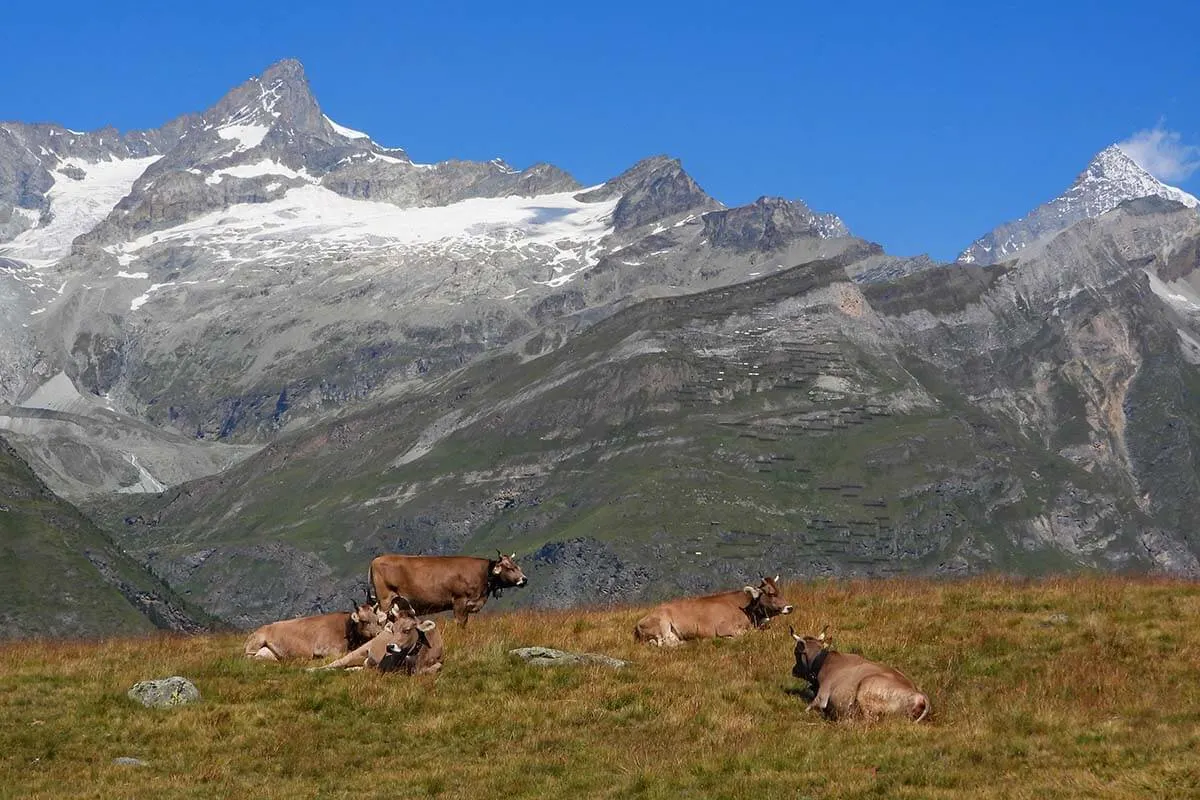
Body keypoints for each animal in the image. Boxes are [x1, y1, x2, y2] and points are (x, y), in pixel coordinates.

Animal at [367, 551, 528, 623]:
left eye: (518, 566)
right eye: (509, 568)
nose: (524, 579)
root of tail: (376, 559)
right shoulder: (459, 601)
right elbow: (460, 622)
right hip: (385, 598)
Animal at [633, 575, 792, 642]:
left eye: (780, 591)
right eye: (771, 593)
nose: (789, 607)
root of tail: (639, 622)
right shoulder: (724, 628)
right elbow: (746, 634)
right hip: (662, 623)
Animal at [792, 628, 931, 724]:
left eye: (796, 653)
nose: (794, 670)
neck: (826, 662)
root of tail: (920, 695)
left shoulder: (822, 696)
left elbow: (807, 709)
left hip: (865, 688)